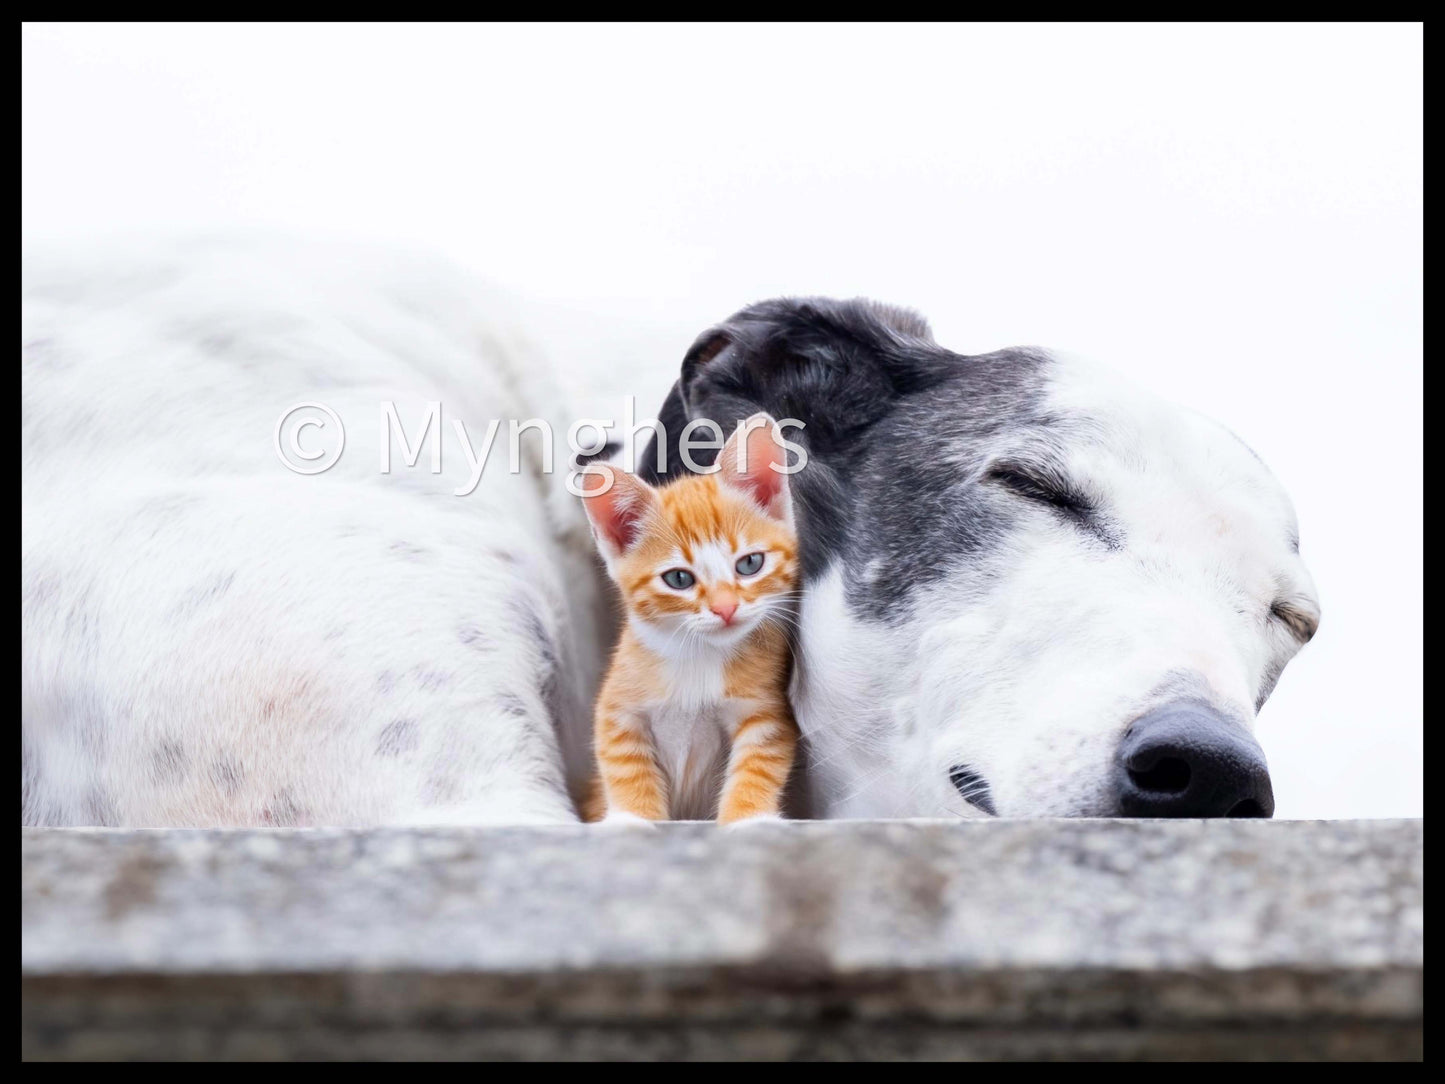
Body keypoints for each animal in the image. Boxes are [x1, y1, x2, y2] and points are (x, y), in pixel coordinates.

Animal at [578, 413, 803, 820]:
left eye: (750, 563)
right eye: (679, 579)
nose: (726, 607)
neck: (698, 654)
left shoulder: (765, 712)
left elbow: (758, 765)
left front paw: (748, 819)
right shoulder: (618, 709)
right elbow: (624, 768)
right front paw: (631, 820)